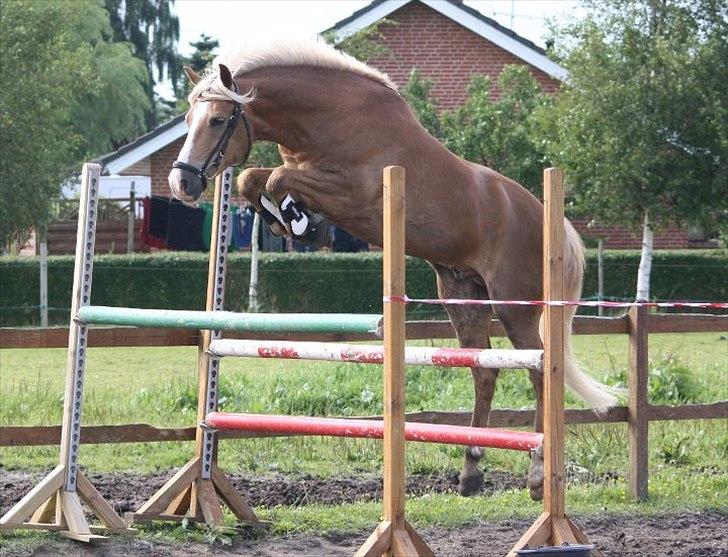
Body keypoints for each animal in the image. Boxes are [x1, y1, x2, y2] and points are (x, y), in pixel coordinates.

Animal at [168, 40, 618, 500]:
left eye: (217, 120)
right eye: (188, 120)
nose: (180, 184)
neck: (327, 118)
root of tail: (548, 219)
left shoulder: (352, 194)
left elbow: (276, 179)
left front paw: (301, 223)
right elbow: (252, 180)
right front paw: (291, 221)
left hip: (515, 307)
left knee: (539, 373)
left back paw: (538, 476)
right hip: (462, 298)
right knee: (484, 370)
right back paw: (471, 471)